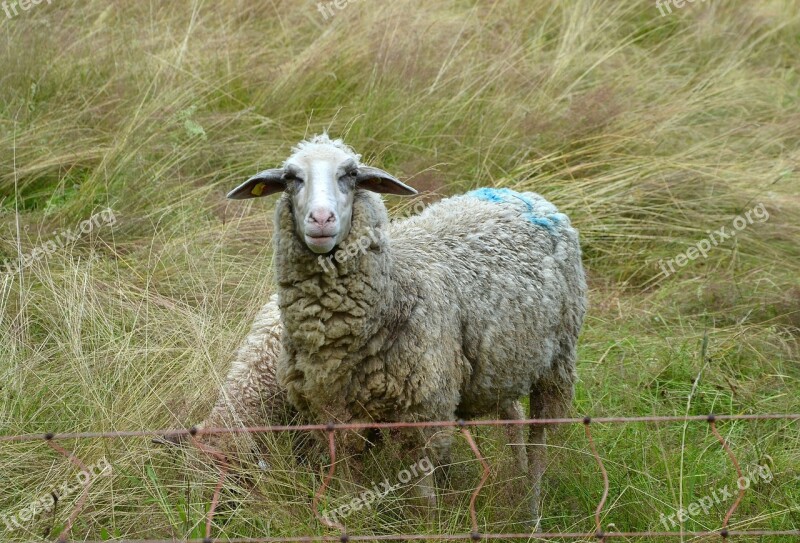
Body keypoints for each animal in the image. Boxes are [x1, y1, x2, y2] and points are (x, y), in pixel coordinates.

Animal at [225, 134, 588, 524]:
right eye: (292, 178)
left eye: (350, 174)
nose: (321, 219)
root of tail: (522, 194)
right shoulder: (334, 416)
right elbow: (348, 485)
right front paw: (353, 520)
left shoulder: (423, 413)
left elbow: (422, 498)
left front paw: (428, 526)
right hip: (501, 360)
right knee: (512, 417)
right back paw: (517, 484)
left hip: (556, 363)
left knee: (539, 437)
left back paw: (531, 510)